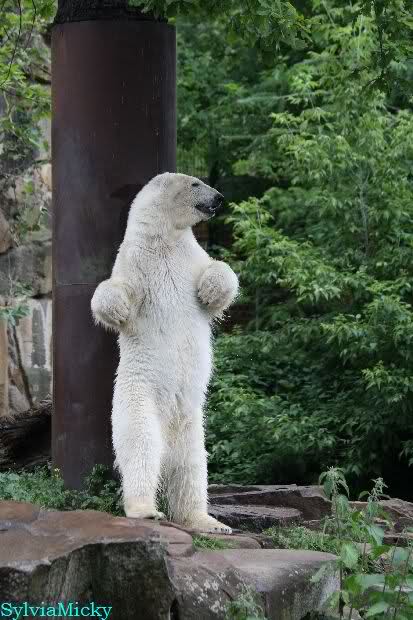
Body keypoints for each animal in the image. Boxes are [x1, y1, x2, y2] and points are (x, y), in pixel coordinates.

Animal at [91, 172, 239, 533]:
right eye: (196, 184)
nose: (219, 197)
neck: (164, 240)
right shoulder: (134, 261)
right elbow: (113, 289)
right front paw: (117, 310)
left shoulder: (191, 256)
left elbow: (219, 272)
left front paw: (209, 290)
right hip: (139, 395)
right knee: (141, 445)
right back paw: (145, 509)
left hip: (191, 417)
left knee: (193, 464)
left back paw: (207, 520)